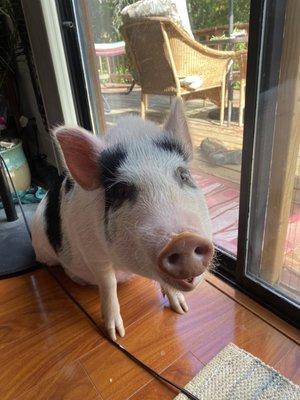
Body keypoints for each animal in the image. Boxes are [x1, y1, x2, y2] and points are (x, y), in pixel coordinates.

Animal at [31, 99, 213, 340]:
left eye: (183, 175)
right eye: (121, 190)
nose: (183, 240)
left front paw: (181, 309)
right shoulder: (94, 252)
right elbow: (107, 284)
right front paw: (115, 335)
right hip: (44, 251)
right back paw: (79, 280)